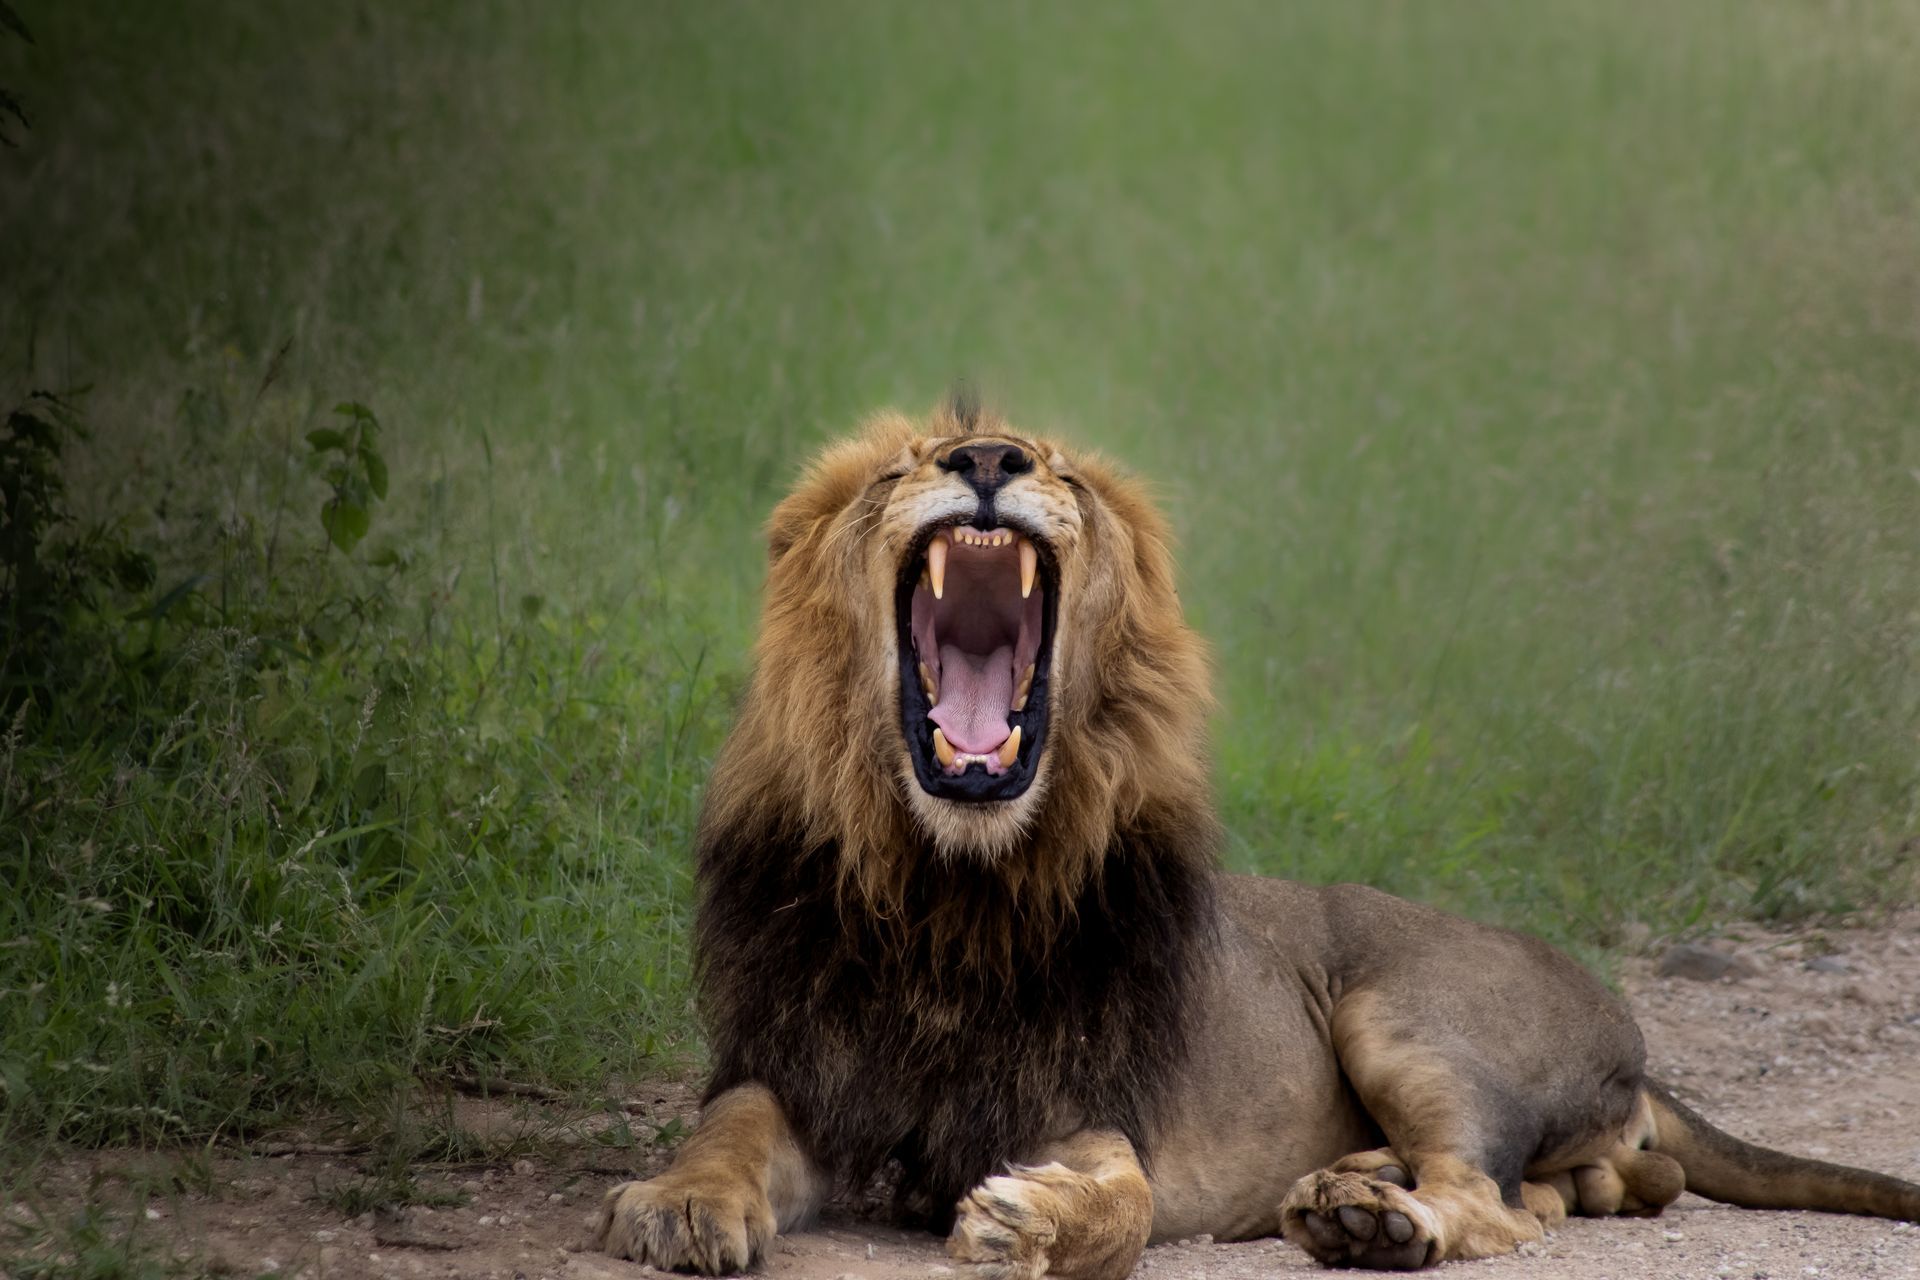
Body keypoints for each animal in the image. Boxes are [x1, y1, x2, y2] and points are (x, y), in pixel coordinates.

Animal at [594, 397, 1920, 1276]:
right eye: (905, 465)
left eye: (1059, 467)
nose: (986, 458)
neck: (951, 887)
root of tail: (1627, 1024)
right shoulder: (797, 1066)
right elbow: (727, 1127)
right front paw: (676, 1204)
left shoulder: (1095, 1107)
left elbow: (1121, 1204)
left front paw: (1030, 1220)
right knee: (1579, 1187)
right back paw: (1357, 1188)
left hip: (1403, 1013)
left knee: (1492, 1197)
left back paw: (1375, 1220)